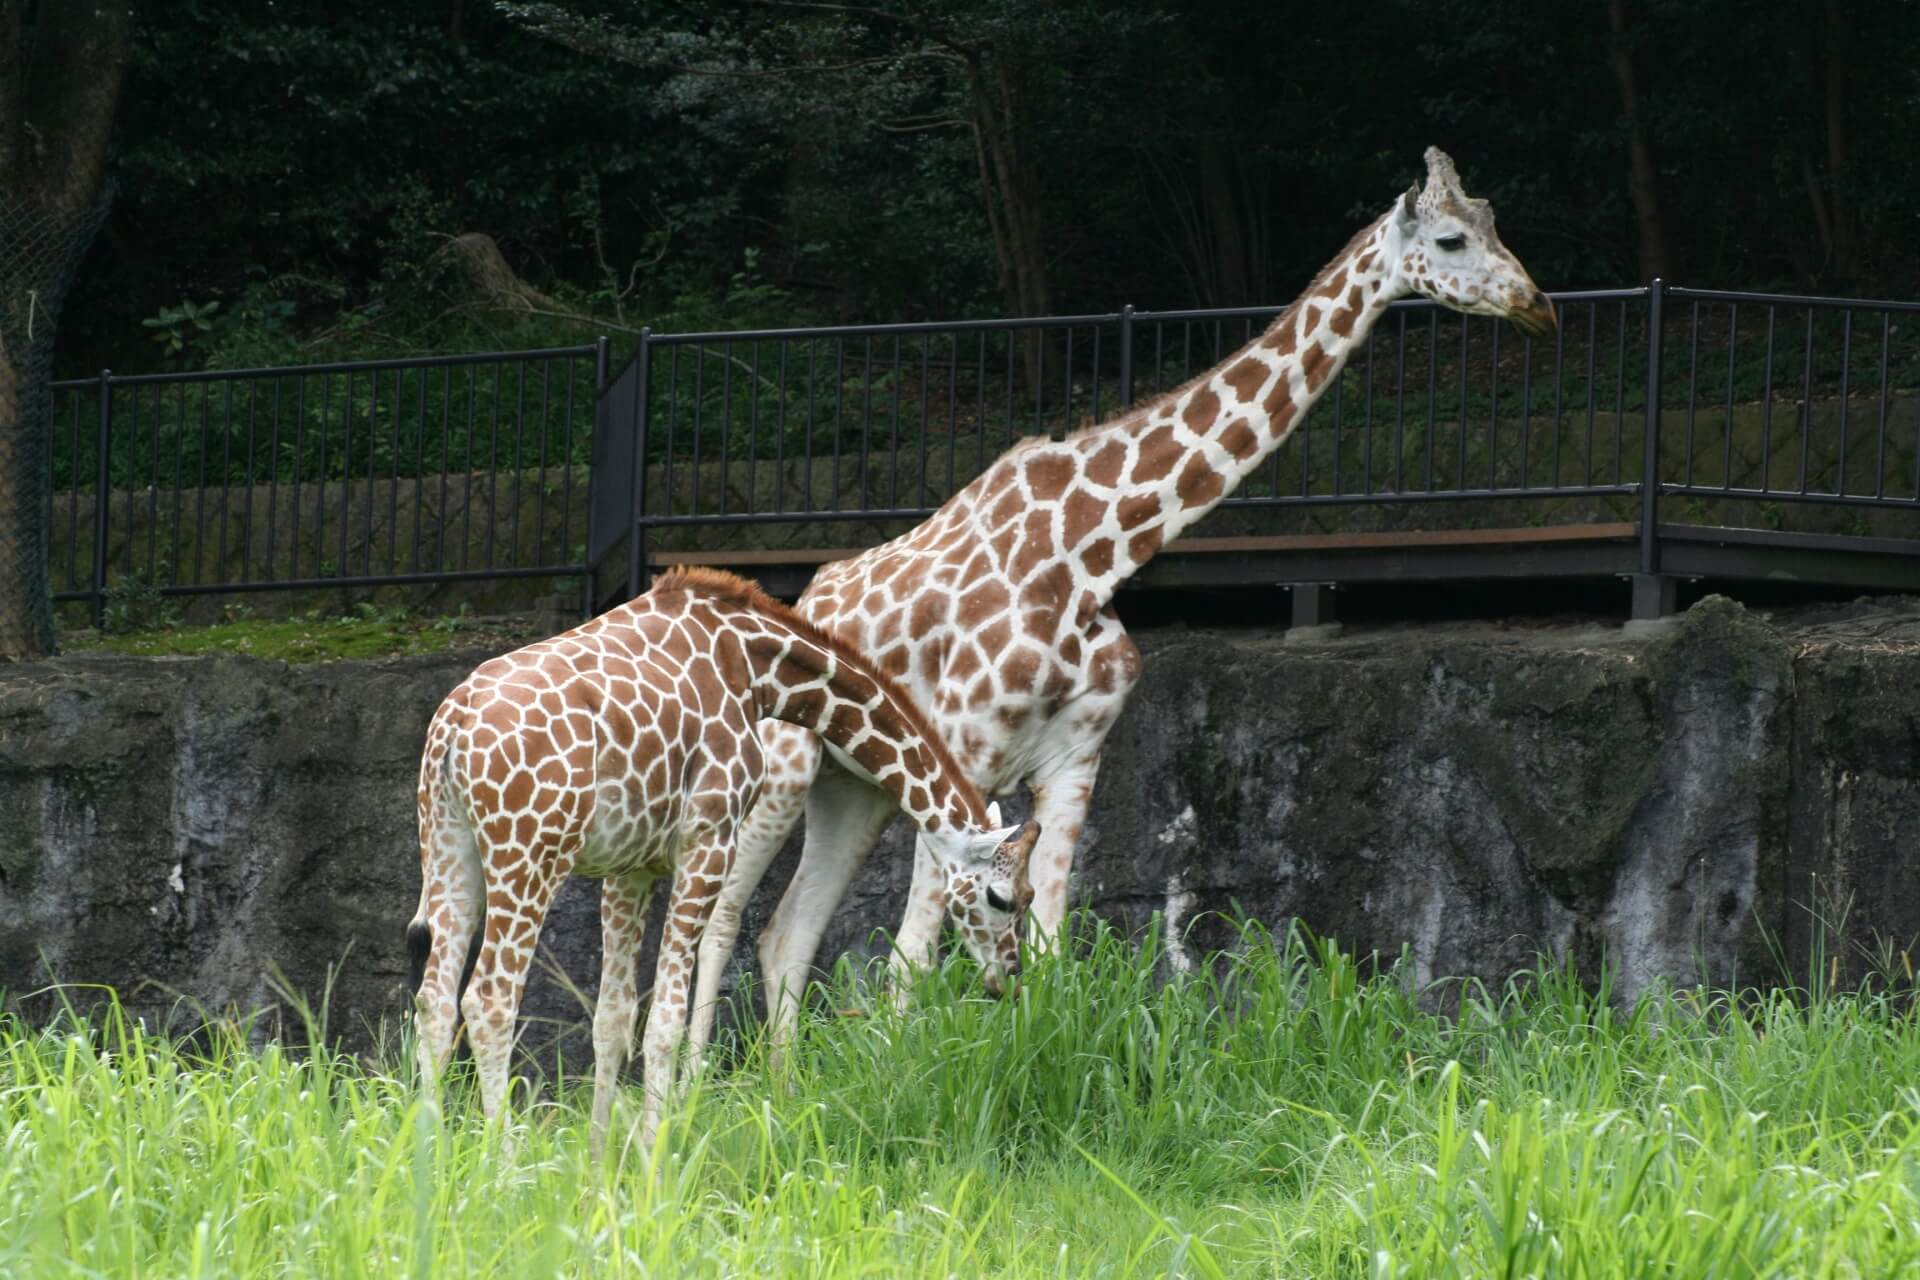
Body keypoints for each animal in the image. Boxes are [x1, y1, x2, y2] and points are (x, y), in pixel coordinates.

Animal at [407, 565, 1041, 1156]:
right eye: (1002, 898)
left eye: (1029, 897)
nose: (1010, 976)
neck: (756, 667)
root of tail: (452, 730)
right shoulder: (708, 838)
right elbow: (665, 1017)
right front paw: (654, 1153)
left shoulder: (630, 868)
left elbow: (613, 1018)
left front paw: (600, 1159)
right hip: (531, 853)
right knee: (488, 1000)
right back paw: (503, 1161)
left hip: (450, 847)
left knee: (434, 999)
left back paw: (430, 1157)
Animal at [685, 145, 1557, 1065]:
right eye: (1452, 238)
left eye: (1495, 222)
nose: (1538, 305)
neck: (1090, 556)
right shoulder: (966, 753)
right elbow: (909, 963)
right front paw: (902, 1082)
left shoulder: (1075, 759)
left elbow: (1050, 945)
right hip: (783, 771)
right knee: (726, 916)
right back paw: (704, 1083)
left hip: (854, 791)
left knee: (786, 931)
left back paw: (785, 1085)